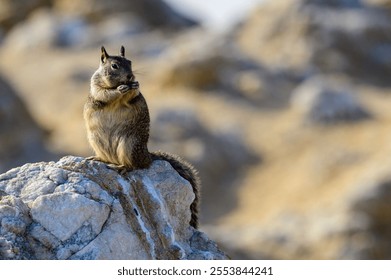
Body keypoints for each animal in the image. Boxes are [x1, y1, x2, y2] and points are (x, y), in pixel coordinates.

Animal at [85, 46, 202, 229]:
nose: (130, 76)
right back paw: (99, 159)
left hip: (129, 144)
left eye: (130, 62)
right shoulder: (95, 85)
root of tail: (148, 156)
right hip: (98, 141)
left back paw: (123, 167)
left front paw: (134, 85)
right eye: (114, 65)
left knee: (136, 165)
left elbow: (134, 93)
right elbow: (103, 93)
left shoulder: (134, 95)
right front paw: (119, 89)